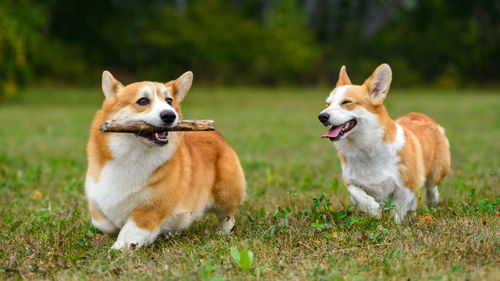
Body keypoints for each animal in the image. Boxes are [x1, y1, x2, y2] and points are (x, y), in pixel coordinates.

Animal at [85, 71, 246, 248]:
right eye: (143, 101)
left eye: (169, 101)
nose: (170, 115)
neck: (133, 156)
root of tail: (216, 134)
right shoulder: (96, 195)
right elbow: (103, 223)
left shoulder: (151, 209)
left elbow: (130, 232)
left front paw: (119, 248)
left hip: (226, 193)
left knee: (227, 216)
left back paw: (222, 233)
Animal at [318, 63, 452, 221]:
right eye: (327, 104)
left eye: (346, 102)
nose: (322, 116)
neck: (365, 149)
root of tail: (422, 116)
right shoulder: (350, 182)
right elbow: (357, 195)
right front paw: (373, 210)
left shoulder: (407, 185)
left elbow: (397, 209)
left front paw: (394, 223)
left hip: (436, 173)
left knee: (431, 189)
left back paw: (432, 205)